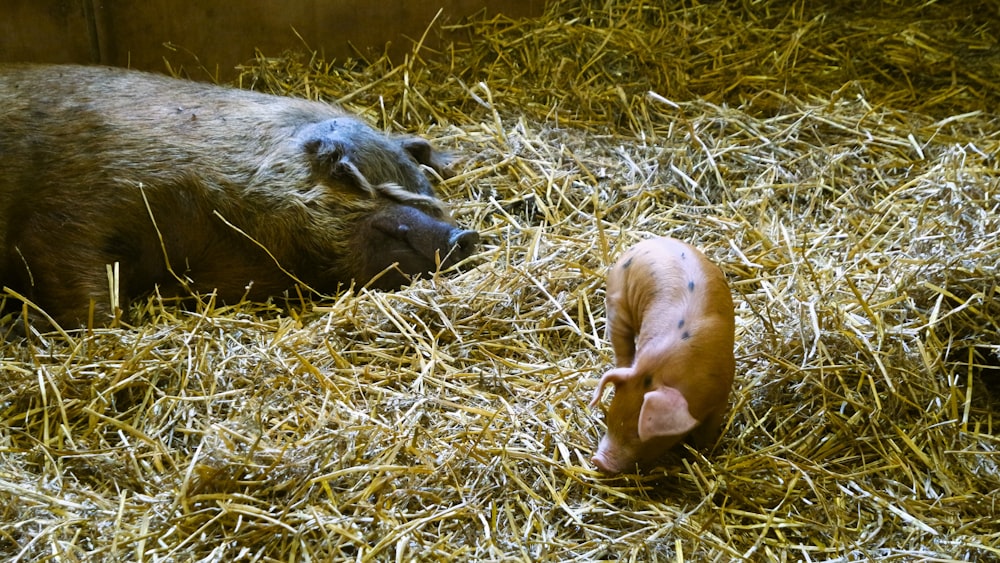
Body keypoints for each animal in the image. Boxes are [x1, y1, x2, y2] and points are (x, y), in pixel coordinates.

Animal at [588, 236, 740, 474]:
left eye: (637, 434)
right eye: (611, 418)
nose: (598, 461)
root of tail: (643, 242)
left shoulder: (722, 392)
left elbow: (709, 429)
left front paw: (706, 451)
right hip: (616, 302)